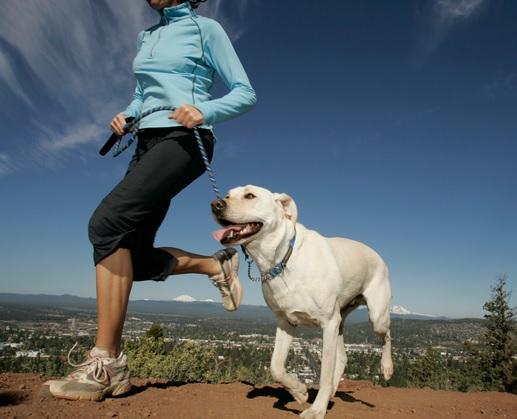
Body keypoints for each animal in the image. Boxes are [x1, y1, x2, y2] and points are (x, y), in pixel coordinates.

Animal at [210, 187, 392, 419]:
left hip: (375, 316)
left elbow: (324, 374)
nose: (216, 205)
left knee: (386, 335)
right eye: (227, 195)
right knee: (342, 357)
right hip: (340, 321)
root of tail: (376, 253)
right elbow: (276, 367)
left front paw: (317, 409)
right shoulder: (286, 322)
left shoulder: (328, 323)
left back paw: (387, 368)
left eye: (250, 195)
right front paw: (299, 392)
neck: (282, 260)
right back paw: (332, 392)